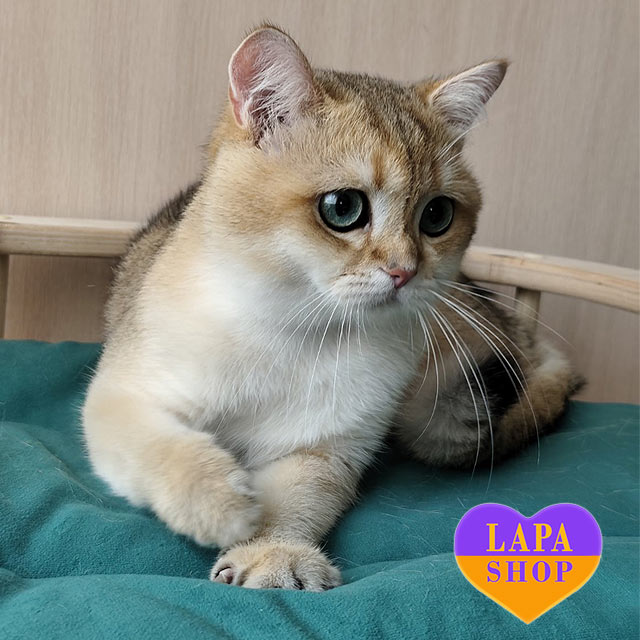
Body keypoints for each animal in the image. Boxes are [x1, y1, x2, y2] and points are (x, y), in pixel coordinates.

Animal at [82, 25, 581, 591]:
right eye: (343, 208)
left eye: (437, 215)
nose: (405, 271)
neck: (295, 329)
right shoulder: (118, 397)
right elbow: (154, 445)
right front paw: (220, 502)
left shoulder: (324, 448)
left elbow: (300, 498)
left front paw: (274, 552)